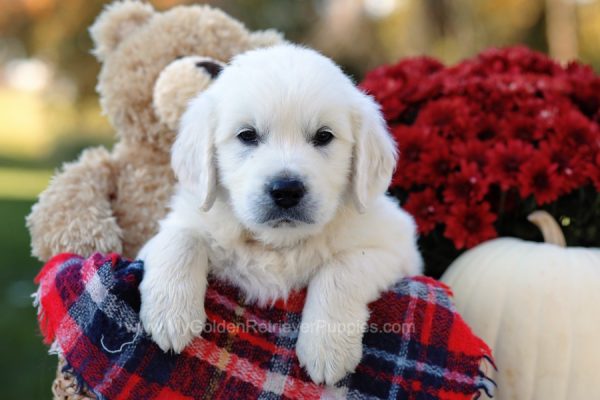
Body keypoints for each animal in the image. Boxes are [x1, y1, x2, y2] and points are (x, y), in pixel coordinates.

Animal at [140, 43, 422, 384]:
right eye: (247, 135)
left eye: (324, 136)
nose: (286, 190)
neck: (278, 242)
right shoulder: (182, 222)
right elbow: (180, 238)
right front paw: (170, 315)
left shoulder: (397, 248)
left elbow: (342, 267)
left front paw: (327, 348)